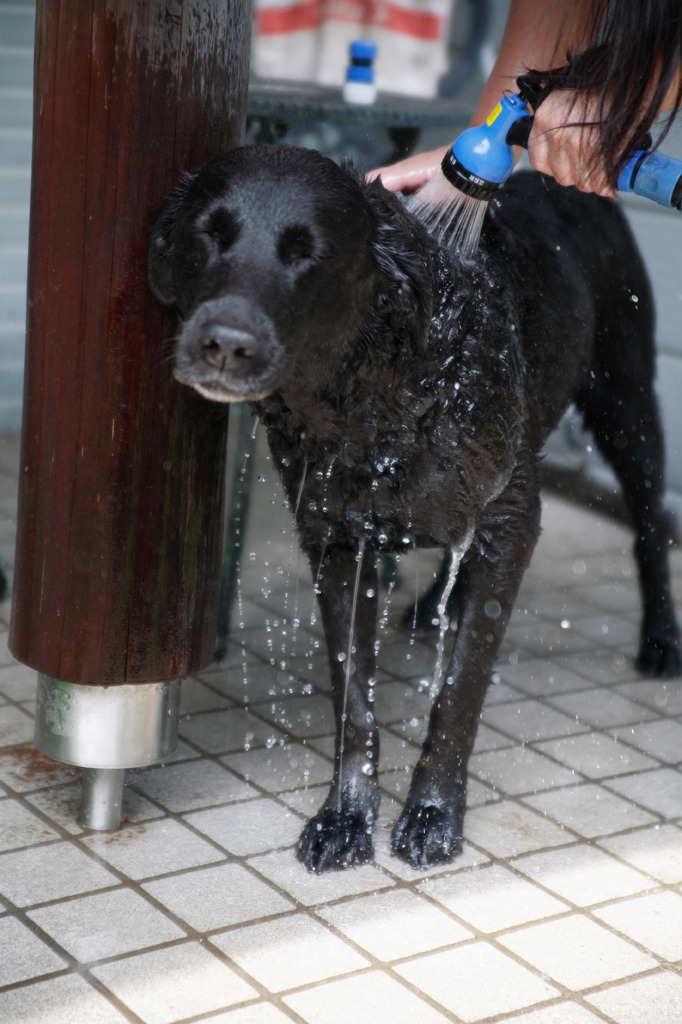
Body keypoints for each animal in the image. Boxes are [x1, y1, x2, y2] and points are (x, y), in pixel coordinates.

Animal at [146, 146, 675, 872]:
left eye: (309, 254)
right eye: (208, 233)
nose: (225, 344)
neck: (378, 394)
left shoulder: (511, 518)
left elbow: (459, 689)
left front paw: (431, 814)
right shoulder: (336, 539)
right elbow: (353, 695)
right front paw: (345, 816)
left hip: (626, 402)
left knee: (651, 523)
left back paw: (660, 638)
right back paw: (431, 608)